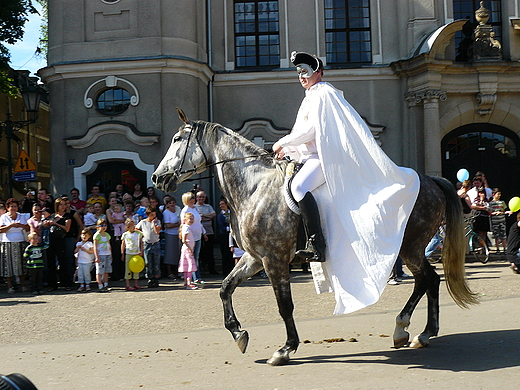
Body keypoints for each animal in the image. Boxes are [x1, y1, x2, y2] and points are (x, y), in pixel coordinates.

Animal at [152, 109, 478, 366]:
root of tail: (429, 180)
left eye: (177, 139)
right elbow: (225, 288)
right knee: (427, 280)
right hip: (409, 249)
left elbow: (284, 305)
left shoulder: (274, 260)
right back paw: (411, 331)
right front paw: (238, 333)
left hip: (410, 247)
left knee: (429, 279)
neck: (255, 188)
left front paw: (285, 349)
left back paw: (418, 331)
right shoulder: (254, 258)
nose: (157, 178)